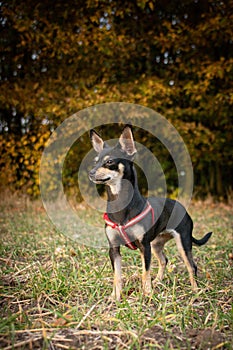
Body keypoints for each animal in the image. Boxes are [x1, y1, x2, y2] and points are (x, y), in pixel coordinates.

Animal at [88, 124, 212, 300]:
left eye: (109, 161)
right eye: (95, 162)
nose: (91, 172)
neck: (120, 204)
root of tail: (182, 207)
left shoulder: (144, 247)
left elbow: (145, 272)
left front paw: (147, 294)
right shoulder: (114, 249)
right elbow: (117, 276)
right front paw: (115, 297)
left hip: (183, 242)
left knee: (191, 266)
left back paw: (195, 291)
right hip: (156, 244)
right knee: (164, 260)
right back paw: (158, 281)